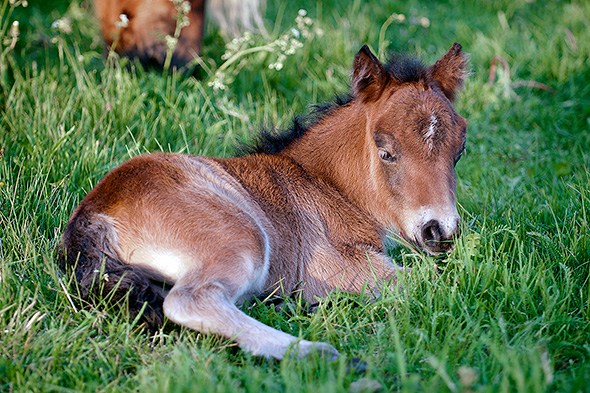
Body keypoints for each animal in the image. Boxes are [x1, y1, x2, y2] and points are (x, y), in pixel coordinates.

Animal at [57, 43, 470, 358]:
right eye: (386, 152)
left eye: (460, 151)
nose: (439, 231)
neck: (321, 184)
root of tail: (95, 212)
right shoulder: (347, 269)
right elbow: (432, 282)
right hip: (242, 236)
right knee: (189, 300)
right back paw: (315, 351)